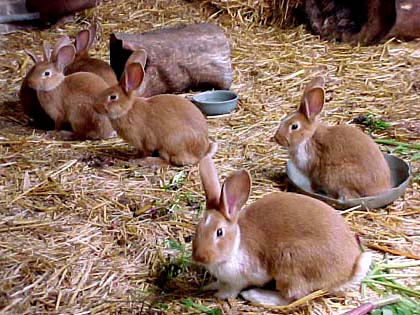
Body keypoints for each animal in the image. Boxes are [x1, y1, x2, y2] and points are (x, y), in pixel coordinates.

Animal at [192, 157, 372, 306]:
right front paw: (210, 286)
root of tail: (346, 272)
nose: (199, 257)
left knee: (290, 297)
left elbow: (232, 290)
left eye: (219, 232)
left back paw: (255, 296)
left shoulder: (241, 278)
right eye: (197, 228)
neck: (236, 243)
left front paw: (220, 295)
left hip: (290, 264)